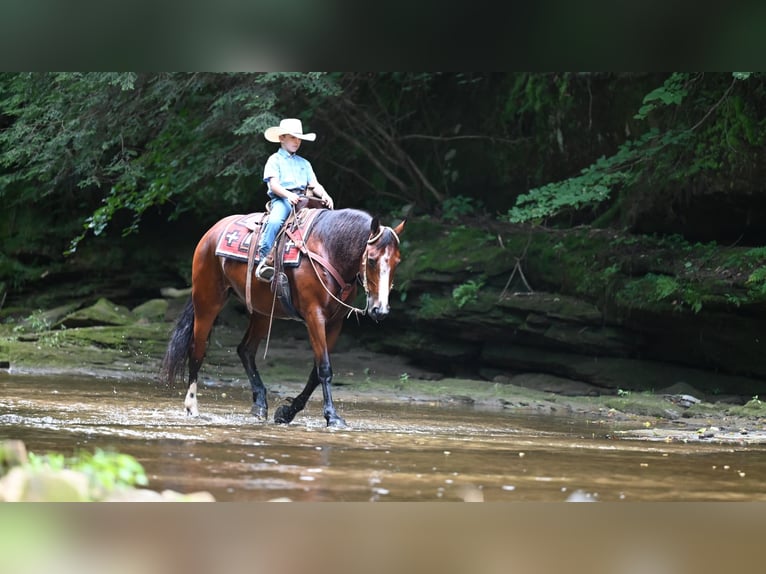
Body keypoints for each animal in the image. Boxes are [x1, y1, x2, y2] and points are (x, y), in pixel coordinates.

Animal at [163, 207, 408, 428]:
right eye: (373, 260)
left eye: (397, 262)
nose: (380, 310)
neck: (329, 249)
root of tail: (212, 232)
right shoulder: (314, 316)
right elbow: (324, 368)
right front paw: (332, 416)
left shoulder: (335, 323)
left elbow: (315, 373)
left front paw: (286, 413)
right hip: (208, 301)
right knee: (197, 349)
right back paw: (192, 406)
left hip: (262, 312)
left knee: (245, 350)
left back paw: (260, 404)